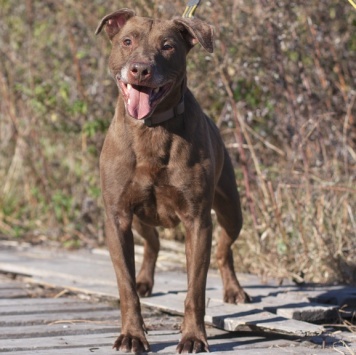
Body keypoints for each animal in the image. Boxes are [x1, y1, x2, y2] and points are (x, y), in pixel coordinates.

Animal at [96, 7, 249, 354]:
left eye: (167, 46)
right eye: (127, 41)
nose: (140, 69)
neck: (151, 129)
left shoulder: (198, 221)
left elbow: (196, 289)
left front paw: (192, 337)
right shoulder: (117, 216)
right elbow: (125, 286)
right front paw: (132, 335)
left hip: (231, 210)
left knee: (224, 249)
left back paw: (234, 290)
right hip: (139, 219)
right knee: (152, 244)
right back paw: (145, 281)